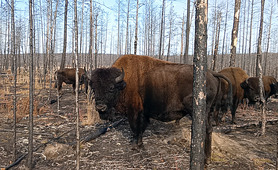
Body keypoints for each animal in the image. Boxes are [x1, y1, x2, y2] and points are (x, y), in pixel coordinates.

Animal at [87, 54, 232, 163]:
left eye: (111, 88)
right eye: (93, 88)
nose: (100, 106)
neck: (124, 83)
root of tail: (211, 73)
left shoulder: (133, 111)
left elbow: (135, 128)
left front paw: (134, 145)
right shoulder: (143, 113)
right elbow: (141, 128)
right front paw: (140, 144)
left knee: (205, 130)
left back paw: (206, 159)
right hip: (209, 111)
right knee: (209, 129)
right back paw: (208, 158)